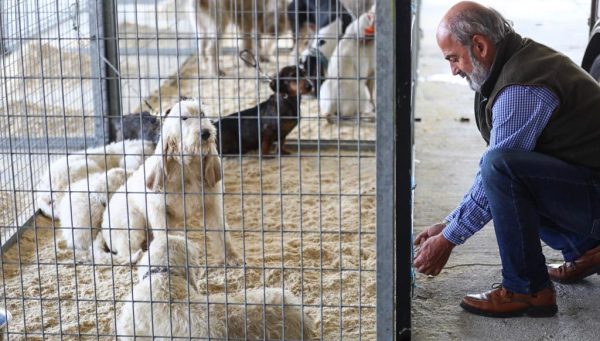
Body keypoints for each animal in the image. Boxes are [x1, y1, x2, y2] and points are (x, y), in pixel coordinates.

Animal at [94, 97, 239, 262]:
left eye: (202, 114)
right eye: (184, 118)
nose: (206, 133)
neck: (188, 168)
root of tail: (103, 228)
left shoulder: (212, 204)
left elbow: (222, 234)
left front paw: (232, 258)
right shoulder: (157, 208)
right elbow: (163, 233)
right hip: (132, 220)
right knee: (126, 252)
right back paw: (138, 255)